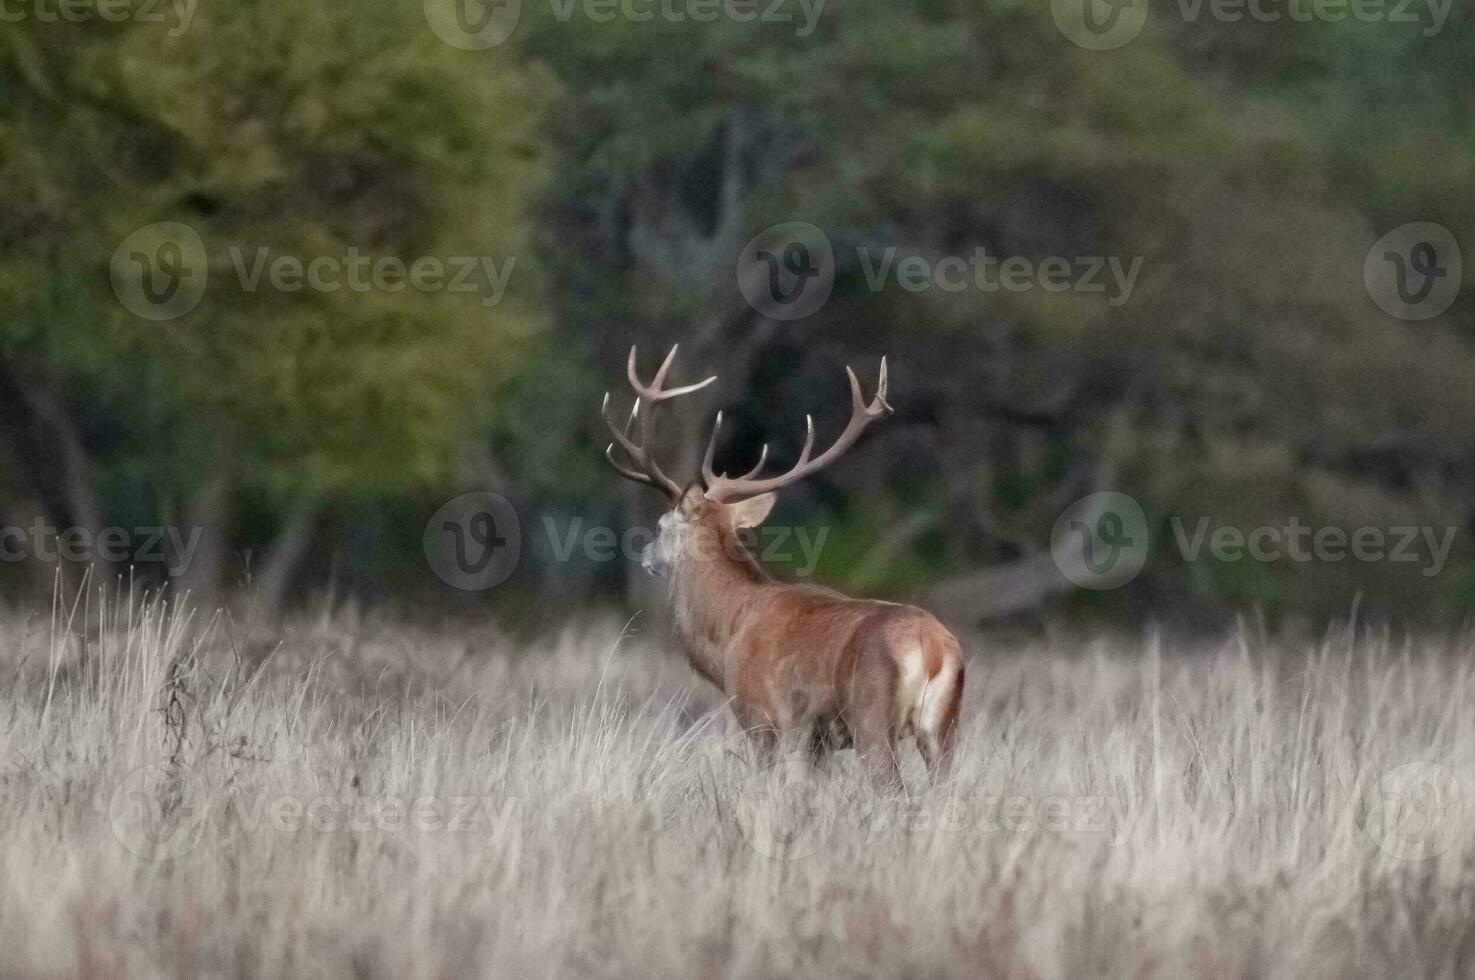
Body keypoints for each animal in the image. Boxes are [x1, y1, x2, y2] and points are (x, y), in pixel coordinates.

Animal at [601, 343, 967, 779]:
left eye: (659, 526)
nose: (644, 555)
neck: (725, 638)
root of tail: (934, 650)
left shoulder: (762, 718)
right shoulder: (817, 741)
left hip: (872, 719)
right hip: (943, 728)